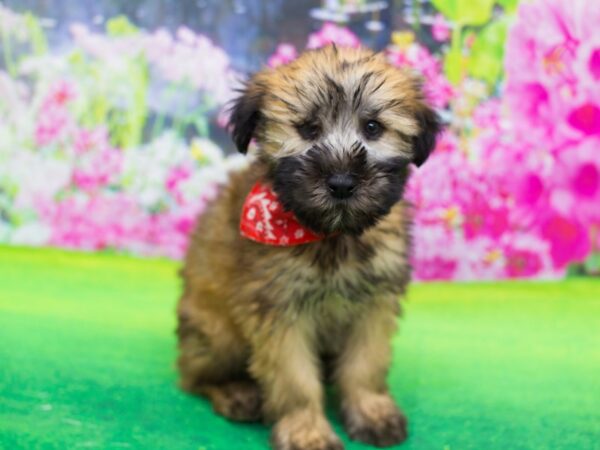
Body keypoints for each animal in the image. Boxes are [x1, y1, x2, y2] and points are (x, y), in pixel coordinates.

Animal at [176, 45, 438, 450]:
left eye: (373, 128)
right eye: (308, 129)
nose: (342, 183)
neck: (331, 235)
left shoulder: (373, 304)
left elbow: (366, 364)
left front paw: (370, 410)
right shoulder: (279, 309)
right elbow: (294, 379)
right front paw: (307, 431)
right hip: (218, 334)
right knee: (194, 376)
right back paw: (235, 392)